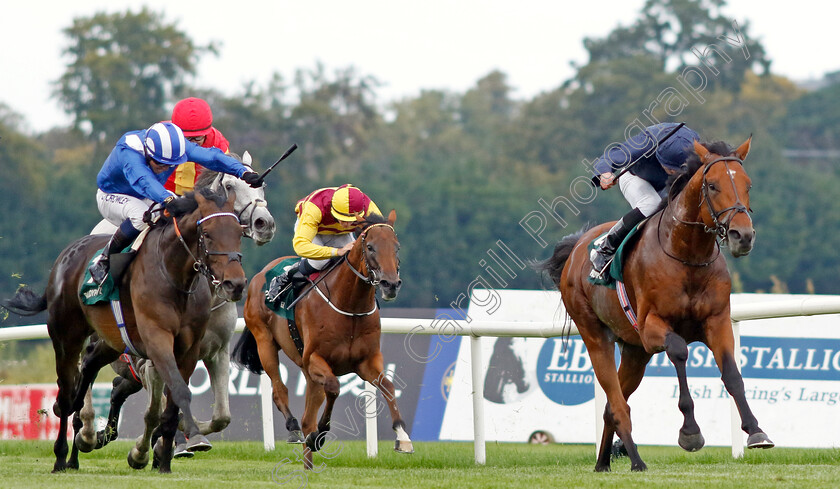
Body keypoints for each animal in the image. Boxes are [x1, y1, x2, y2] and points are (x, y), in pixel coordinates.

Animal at [0, 188, 246, 472]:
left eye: (239, 232)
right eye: (206, 234)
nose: (235, 284)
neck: (174, 277)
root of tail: (66, 254)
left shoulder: (190, 349)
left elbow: (174, 405)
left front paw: (164, 462)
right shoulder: (157, 341)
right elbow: (176, 394)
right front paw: (188, 437)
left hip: (112, 340)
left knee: (90, 367)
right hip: (66, 336)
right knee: (67, 390)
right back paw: (62, 455)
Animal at [78, 156, 276, 466]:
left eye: (260, 185)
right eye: (230, 186)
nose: (264, 223)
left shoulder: (217, 352)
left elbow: (221, 417)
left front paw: (181, 438)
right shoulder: (152, 359)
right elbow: (160, 408)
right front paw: (158, 446)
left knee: (118, 386)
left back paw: (106, 434)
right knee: (84, 368)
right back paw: (86, 429)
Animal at [233, 211, 414, 468]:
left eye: (396, 247)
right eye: (370, 247)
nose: (391, 284)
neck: (350, 306)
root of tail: (260, 274)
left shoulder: (366, 362)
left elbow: (388, 386)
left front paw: (402, 436)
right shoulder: (314, 359)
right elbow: (334, 388)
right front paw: (319, 435)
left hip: (306, 372)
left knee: (307, 415)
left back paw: (308, 464)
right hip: (265, 342)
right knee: (280, 390)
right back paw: (295, 430)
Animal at [540, 139, 776, 470]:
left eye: (748, 185)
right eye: (713, 185)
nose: (742, 235)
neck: (687, 255)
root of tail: (575, 248)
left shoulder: (717, 321)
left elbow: (732, 374)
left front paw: (756, 431)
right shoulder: (652, 327)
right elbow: (679, 350)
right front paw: (690, 433)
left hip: (634, 352)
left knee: (613, 406)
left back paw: (604, 463)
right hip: (595, 336)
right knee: (617, 403)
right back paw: (637, 461)